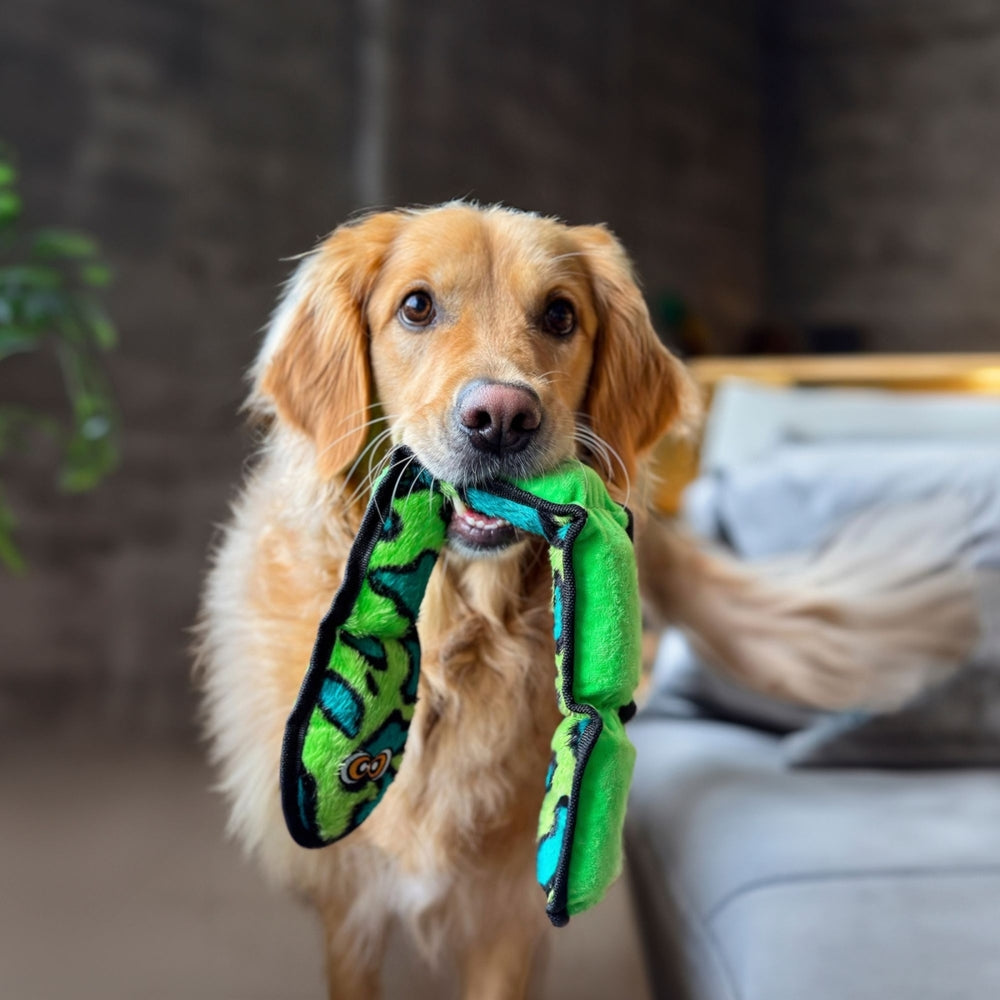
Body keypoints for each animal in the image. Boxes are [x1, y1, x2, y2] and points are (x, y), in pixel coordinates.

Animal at [197, 203, 976, 1000]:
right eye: (416, 307)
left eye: (560, 315)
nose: (501, 417)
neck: (456, 649)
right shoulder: (350, 908)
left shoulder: (506, 911)